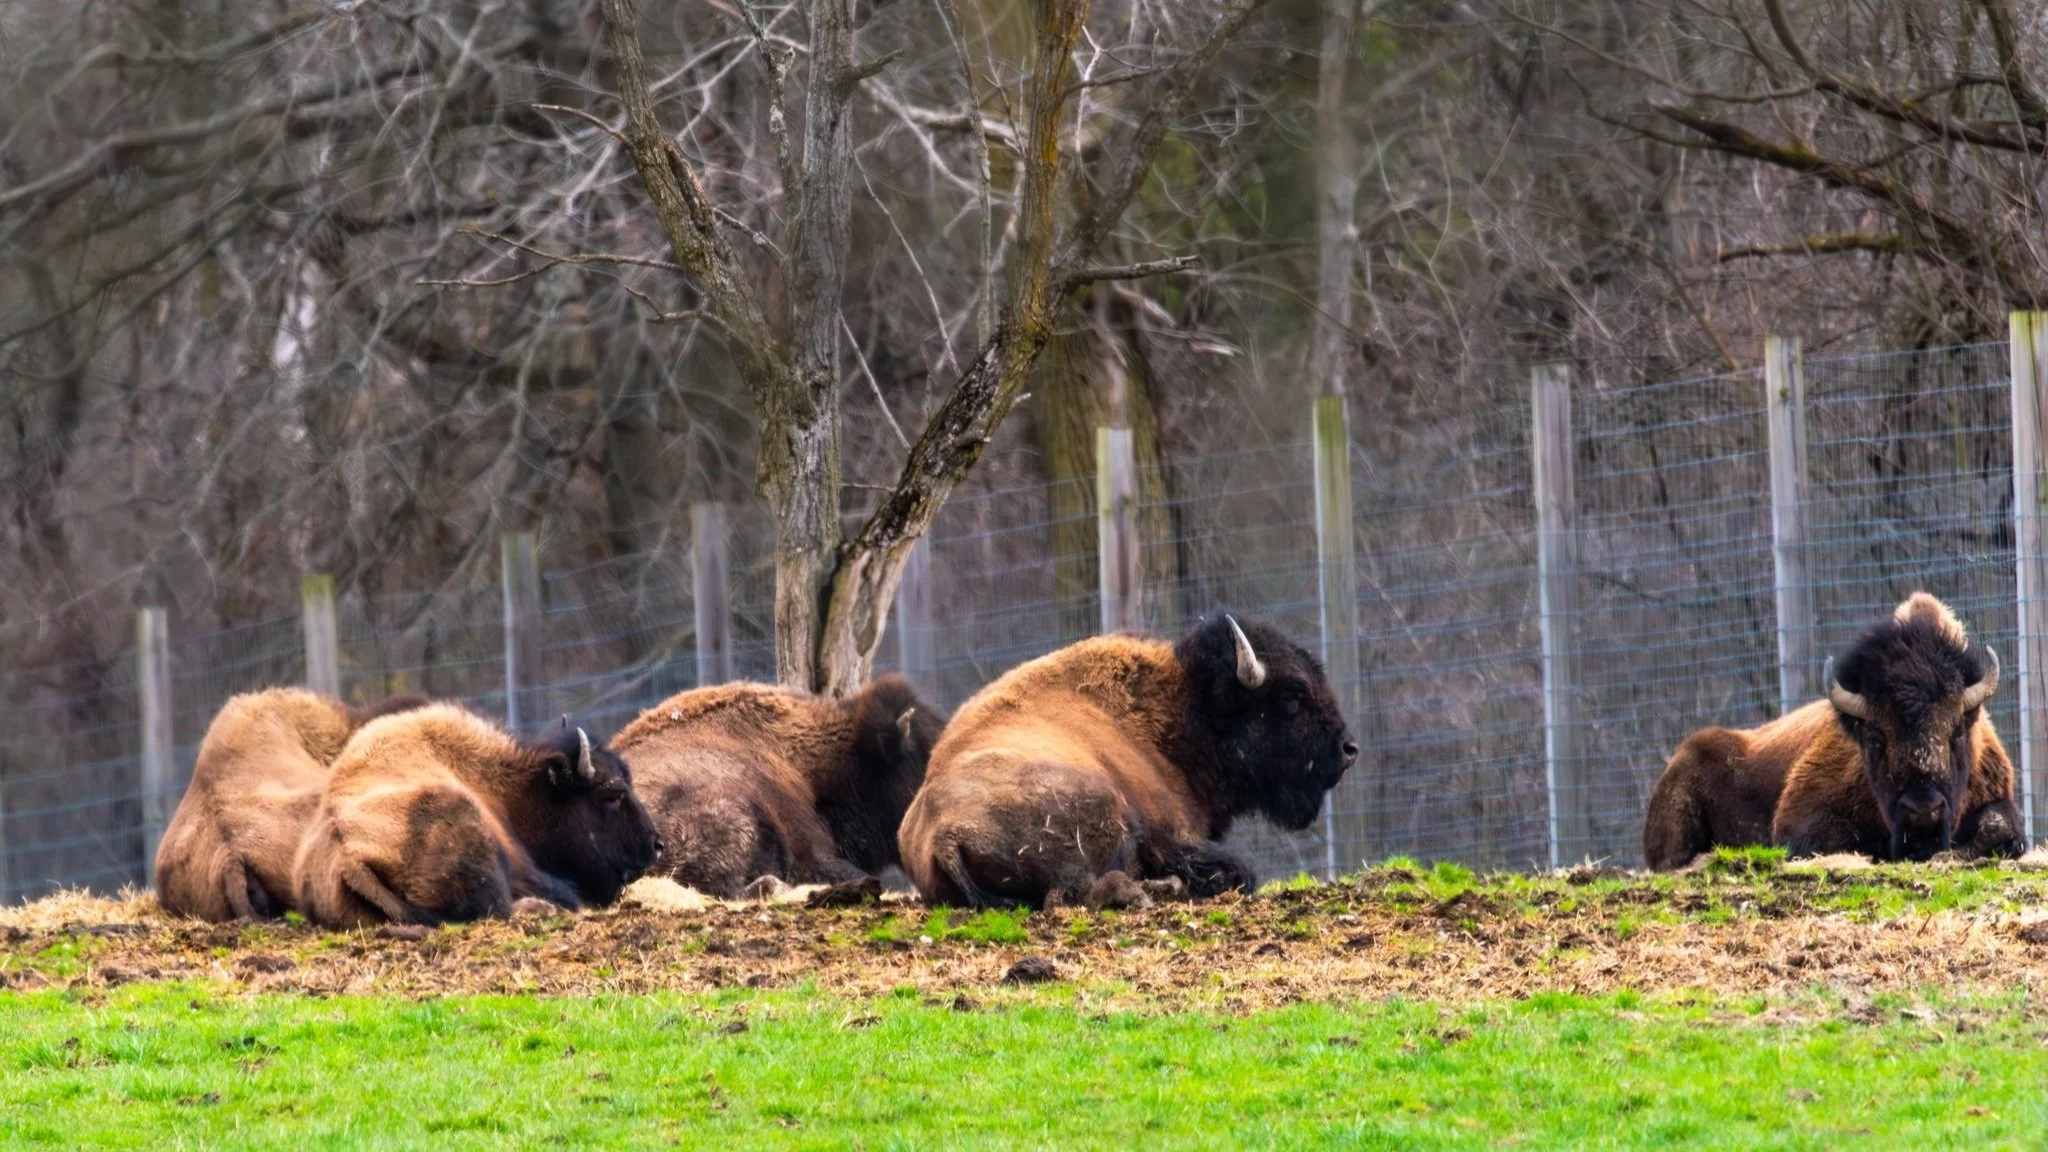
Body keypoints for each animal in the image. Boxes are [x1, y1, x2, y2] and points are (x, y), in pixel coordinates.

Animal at [897, 614, 1357, 908]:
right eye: (1292, 697)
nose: (1349, 749)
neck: (1185, 709)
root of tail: (945, 834)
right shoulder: (1173, 833)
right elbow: (1238, 869)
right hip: (1102, 806)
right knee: (1072, 895)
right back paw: (1156, 891)